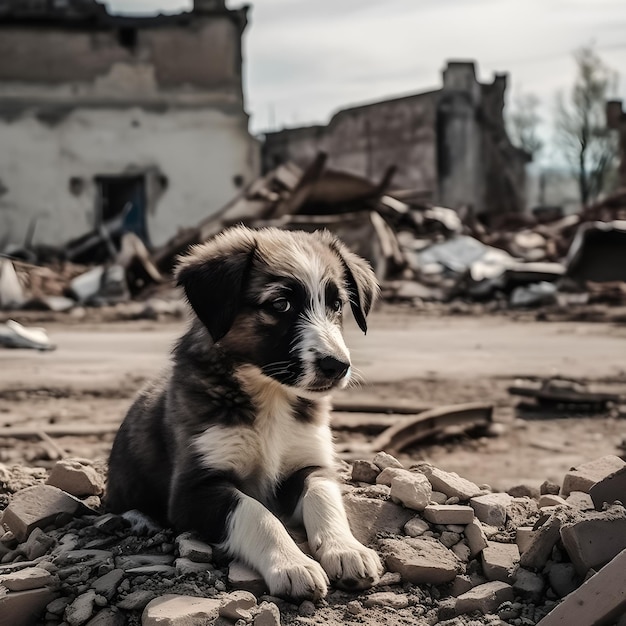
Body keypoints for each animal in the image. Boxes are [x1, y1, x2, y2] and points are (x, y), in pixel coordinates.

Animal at [106, 225, 380, 600]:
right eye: (280, 304)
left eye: (337, 304)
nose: (337, 366)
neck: (271, 396)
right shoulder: (193, 489)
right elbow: (255, 511)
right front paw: (292, 564)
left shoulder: (309, 463)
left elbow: (323, 497)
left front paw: (347, 549)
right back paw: (140, 519)